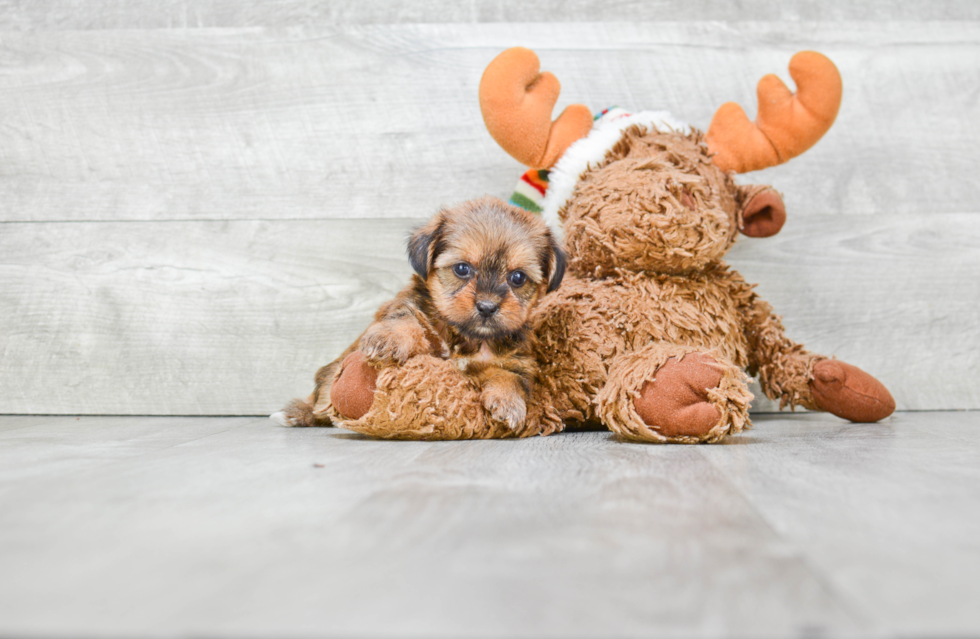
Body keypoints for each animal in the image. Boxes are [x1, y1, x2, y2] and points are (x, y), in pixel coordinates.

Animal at [274, 198, 568, 432]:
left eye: (518, 278)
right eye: (462, 269)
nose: (486, 306)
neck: (468, 338)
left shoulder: (516, 360)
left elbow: (510, 376)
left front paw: (508, 403)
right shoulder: (410, 305)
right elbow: (406, 319)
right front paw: (388, 340)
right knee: (322, 398)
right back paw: (299, 413)